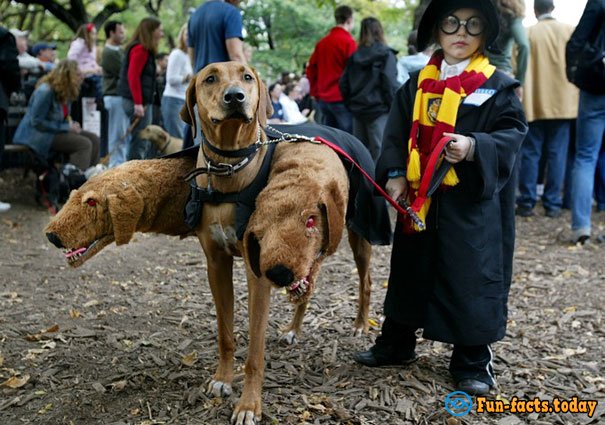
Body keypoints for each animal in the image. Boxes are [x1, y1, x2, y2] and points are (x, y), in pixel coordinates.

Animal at [179, 61, 372, 422]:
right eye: (210, 78)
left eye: (247, 77)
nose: (235, 97)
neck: (229, 167)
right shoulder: (216, 264)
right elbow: (225, 333)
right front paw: (222, 378)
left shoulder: (258, 271)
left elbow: (255, 350)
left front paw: (248, 405)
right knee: (308, 284)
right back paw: (294, 328)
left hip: (359, 231)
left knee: (365, 280)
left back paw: (361, 324)